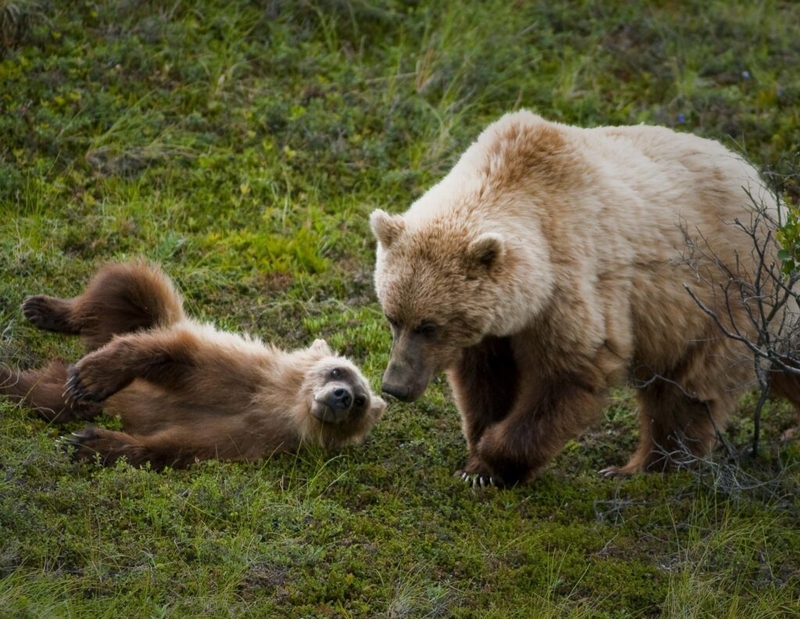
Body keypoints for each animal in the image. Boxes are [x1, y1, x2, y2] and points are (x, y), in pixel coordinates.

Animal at [0, 260, 385, 470]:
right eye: (338, 370)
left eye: (361, 401)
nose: (342, 396)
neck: (277, 402)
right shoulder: (237, 371)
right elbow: (174, 355)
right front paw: (90, 378)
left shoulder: (253, 437)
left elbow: (178, 445)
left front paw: (87, 443)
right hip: (143, 315)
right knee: (127, 284)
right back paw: (44, 310)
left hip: (66, 398)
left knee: (42, 395)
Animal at [370, 109, 800, 487]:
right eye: (393, 317)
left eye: (430, 326)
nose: (394, 386)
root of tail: (772, 198)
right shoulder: (495, 325)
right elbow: (486, 379)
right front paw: (477, 458)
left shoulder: (571, 285)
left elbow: (570, 373)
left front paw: (492, 462)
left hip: (725, 300)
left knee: (687, 391)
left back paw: (645, 468)